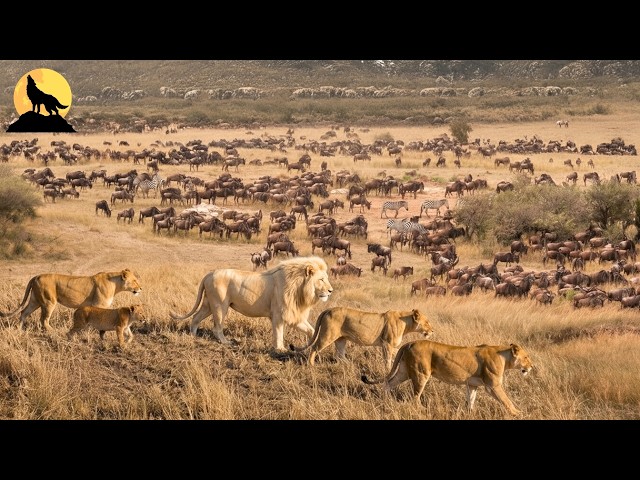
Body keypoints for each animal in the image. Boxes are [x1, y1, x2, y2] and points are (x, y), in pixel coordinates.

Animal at [0, 269, 142, 331]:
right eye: (135, 280)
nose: (141, 288)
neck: (115, 284)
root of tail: (36, 276)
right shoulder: (98, 305)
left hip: (35, 301)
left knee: (23, 312)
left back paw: (19, 330)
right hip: (49, 301)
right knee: (44, 320)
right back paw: (53, 332)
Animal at [170, 256, 333, 351]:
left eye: (325, 278)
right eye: (321, 279)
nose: (331, 291)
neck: (300, 288)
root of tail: (209, 274)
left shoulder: (294, 315)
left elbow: (312, 331)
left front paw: (314, 345)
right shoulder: (278, 314)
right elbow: (278, 333)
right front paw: (280, 349)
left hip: (208, 304)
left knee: (196, 317)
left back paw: (193, 336)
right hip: (220, 305)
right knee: (217, 328)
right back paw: (226, 342)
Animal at [289, 307, 434, 369]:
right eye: (427, 322)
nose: (432, 331)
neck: (406, 323)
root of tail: (328, 309)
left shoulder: (390, 346)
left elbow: (395, 356)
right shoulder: (386, 344)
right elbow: (387, 360)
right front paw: (387, 370)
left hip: (341, 339)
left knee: (340, 355)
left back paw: (350, 365)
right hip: (327, 336)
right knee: (314, 347)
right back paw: (311, 365)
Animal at [361, 340, 533, 416]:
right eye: (526, 357)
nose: (532, 366)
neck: (504, 356)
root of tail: (410, 342)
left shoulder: (472, 385)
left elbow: (471, 399)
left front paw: (470, 413)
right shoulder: (493, 385)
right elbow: (506, 400)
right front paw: (517, 413)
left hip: (404, 371)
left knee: (388, 383)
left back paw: (386, 401)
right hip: (421, 374)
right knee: (415, 396)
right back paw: (421, 410)